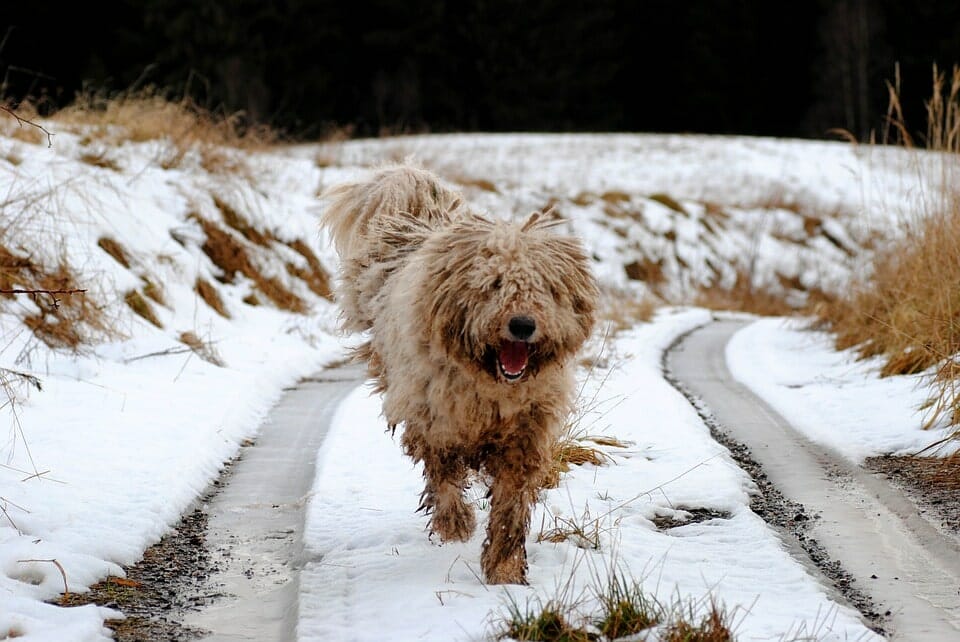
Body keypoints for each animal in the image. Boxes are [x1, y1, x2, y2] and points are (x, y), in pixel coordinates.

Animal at [318, 162, 596, 584]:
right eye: (494, 284)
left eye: (545, 288)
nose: (522, 325)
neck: (491, 384)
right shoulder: (435, 419)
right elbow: (444, 475)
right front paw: (456, 524)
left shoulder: (526, 432)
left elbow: (511, 504)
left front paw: (505, 568)